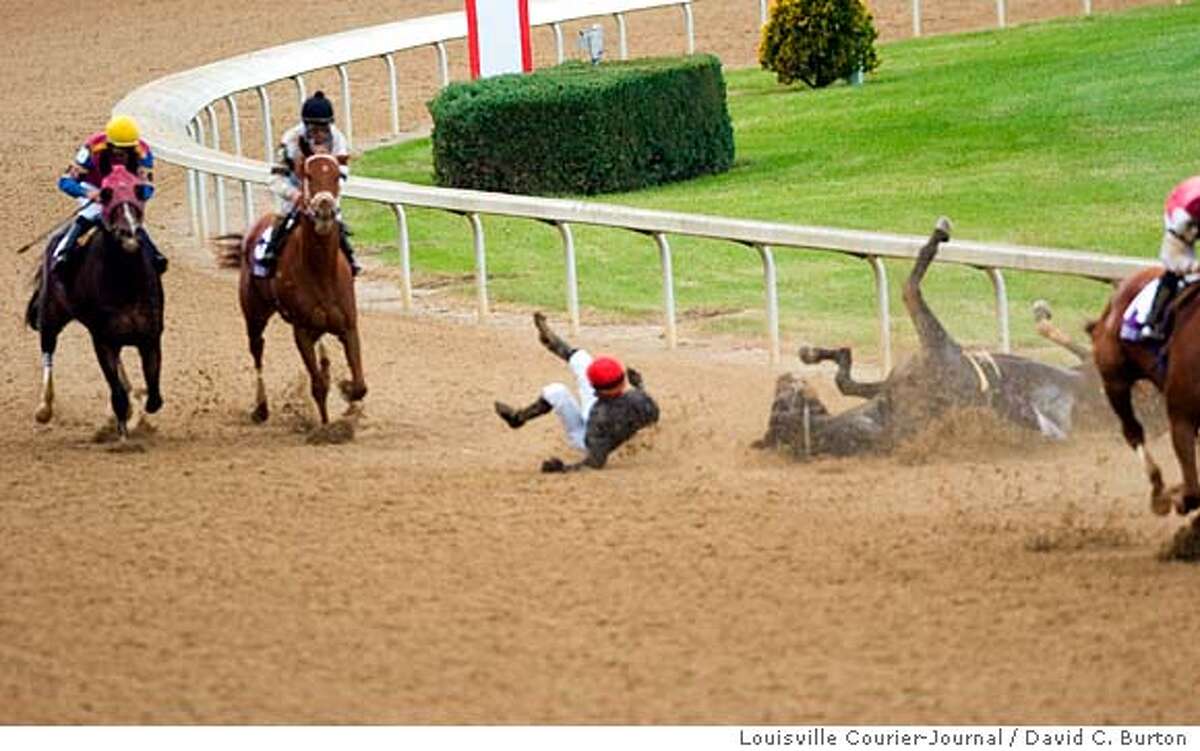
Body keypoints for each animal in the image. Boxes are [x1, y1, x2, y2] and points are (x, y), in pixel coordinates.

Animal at [25, 164, 165, 441]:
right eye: (108, 196)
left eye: (136, 195)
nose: (129, 233)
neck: (125, 283)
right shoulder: (103, 340)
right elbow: (117, 393)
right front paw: (123, 435)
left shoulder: (149, 337)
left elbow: (153, 393)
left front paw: (136, 413)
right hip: (51, 314)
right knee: (48, 348)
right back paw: (44, 408)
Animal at [217, 152, 366, 425]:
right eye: (308, 174)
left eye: (337, 175)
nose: (325, 209)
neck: (320, 271)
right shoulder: (302, 331)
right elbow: (318, 386)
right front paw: (327, 426)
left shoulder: (349, 326)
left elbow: (360, 386)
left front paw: (347, 390)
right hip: (254, 314)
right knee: (257, 351)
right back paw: (261, 408)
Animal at [755, 218, 1107, 457]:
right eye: (781, 401)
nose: (784, 377)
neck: (884, 417)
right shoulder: (939, 348)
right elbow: (909, 288)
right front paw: (939, 233)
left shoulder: (894, 379)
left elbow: (846, 382)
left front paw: (816, 352)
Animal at [1090, 266, 1200, 521]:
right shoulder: (1181, 419)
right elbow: (1192, 491)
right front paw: (1179, 498)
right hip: (1114, 380)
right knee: (1132, 431)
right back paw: (1159, 491)